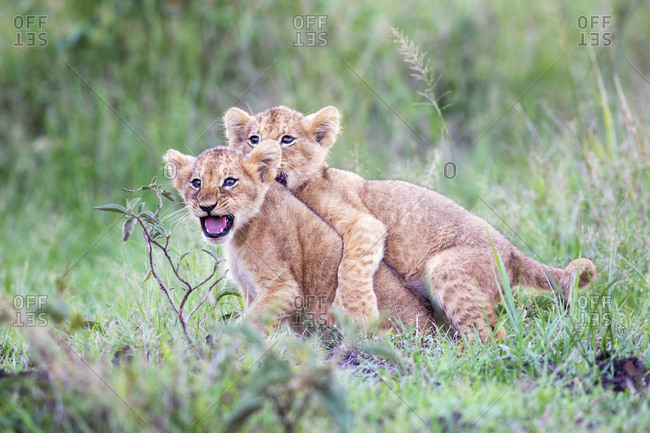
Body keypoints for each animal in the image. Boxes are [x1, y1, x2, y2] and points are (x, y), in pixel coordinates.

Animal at [164, 141, 439, 333]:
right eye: (196, 183)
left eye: (229, 181)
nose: (207, 206)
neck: (238, 236)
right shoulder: (249, 292)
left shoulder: (284, 289)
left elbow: (250, 323)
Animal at [225, 105, 597, 341]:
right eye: (253, 139)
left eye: (286, 139)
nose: (263, 154)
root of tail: (513, 251)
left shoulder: (365, 223)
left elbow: (352, 266)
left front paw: (355, 310)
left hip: (445, 268)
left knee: (493, 333)